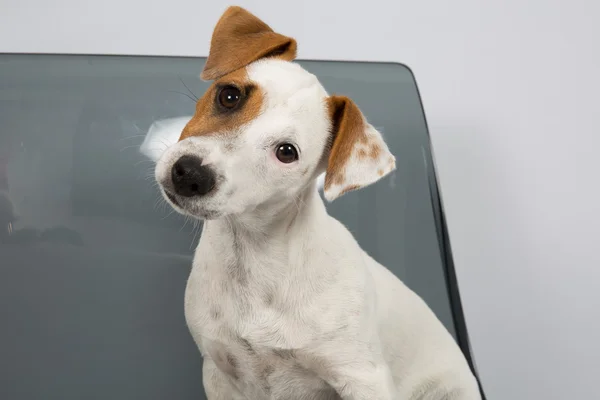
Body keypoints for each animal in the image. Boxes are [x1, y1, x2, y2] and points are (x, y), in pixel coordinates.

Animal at [156, 6, 482, 400]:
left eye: (286, 152)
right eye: (229, 95)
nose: (190, 174)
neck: (258, 261)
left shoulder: (363, 378)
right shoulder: (220, 372)